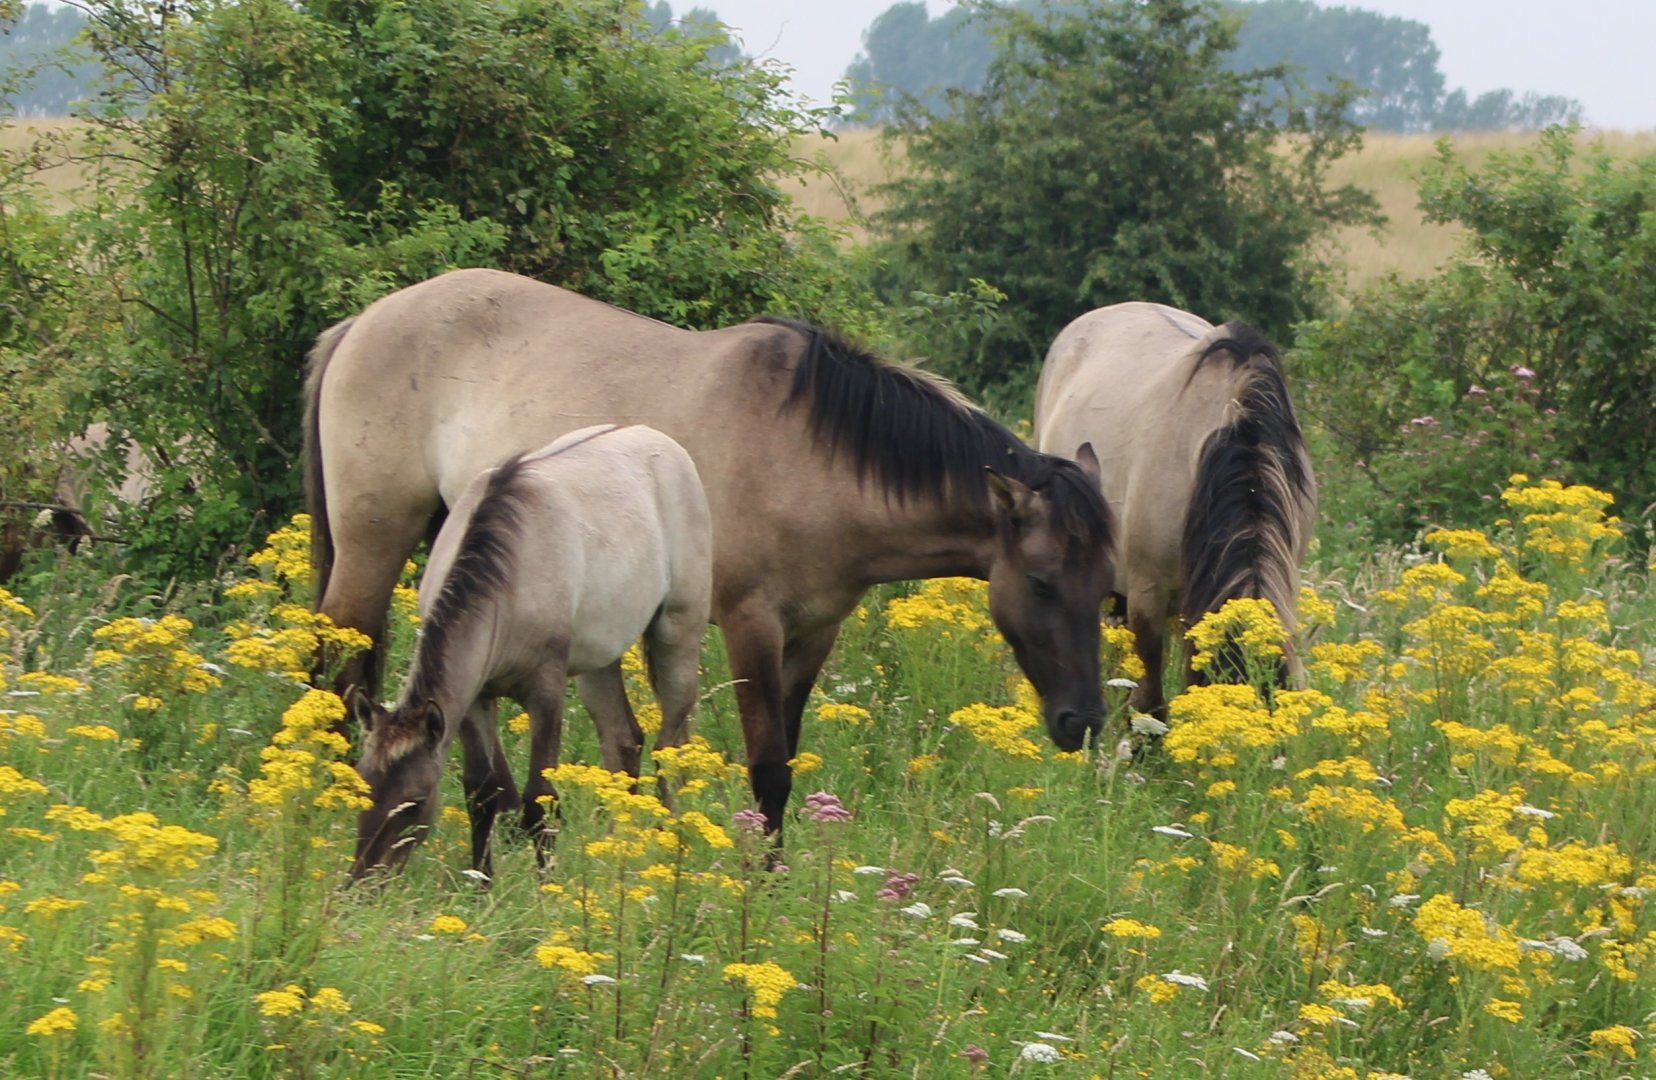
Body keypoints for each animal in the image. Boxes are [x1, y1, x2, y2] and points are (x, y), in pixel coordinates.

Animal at [306, 268, 1116, 834]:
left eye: (1107, 589)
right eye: (1041, 582)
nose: (1083, 721)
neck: (813, 457)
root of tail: (363, 322)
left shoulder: (815, 632)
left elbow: (785, 752)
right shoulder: (751, 625)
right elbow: (767, 767)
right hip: (374, 545)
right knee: (338, 668)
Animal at [347, 424, 713, 880]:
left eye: (413, 803)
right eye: (363, 786)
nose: (361, 882)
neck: (507, 579)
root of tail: (658, 438)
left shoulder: (545, 690)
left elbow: (541, 798)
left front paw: (545, 886)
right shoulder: (474, 698)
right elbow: (482, 791)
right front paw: (481, 882)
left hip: (677, 635)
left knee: (672, 747)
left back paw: (673, 839)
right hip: (599, 659)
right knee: (623, 740)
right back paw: (616, 849)